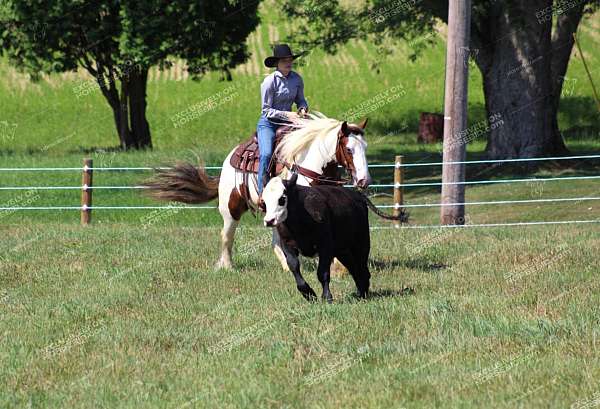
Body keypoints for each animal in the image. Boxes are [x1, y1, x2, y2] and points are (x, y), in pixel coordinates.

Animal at [145, 113, 370, 270]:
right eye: (349, 149)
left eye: (365, 147)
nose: (364, 180)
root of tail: (228, 162)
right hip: (231, 209)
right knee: (227, 235)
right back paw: (227, 266)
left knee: (275, 240)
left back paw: (286, 266)